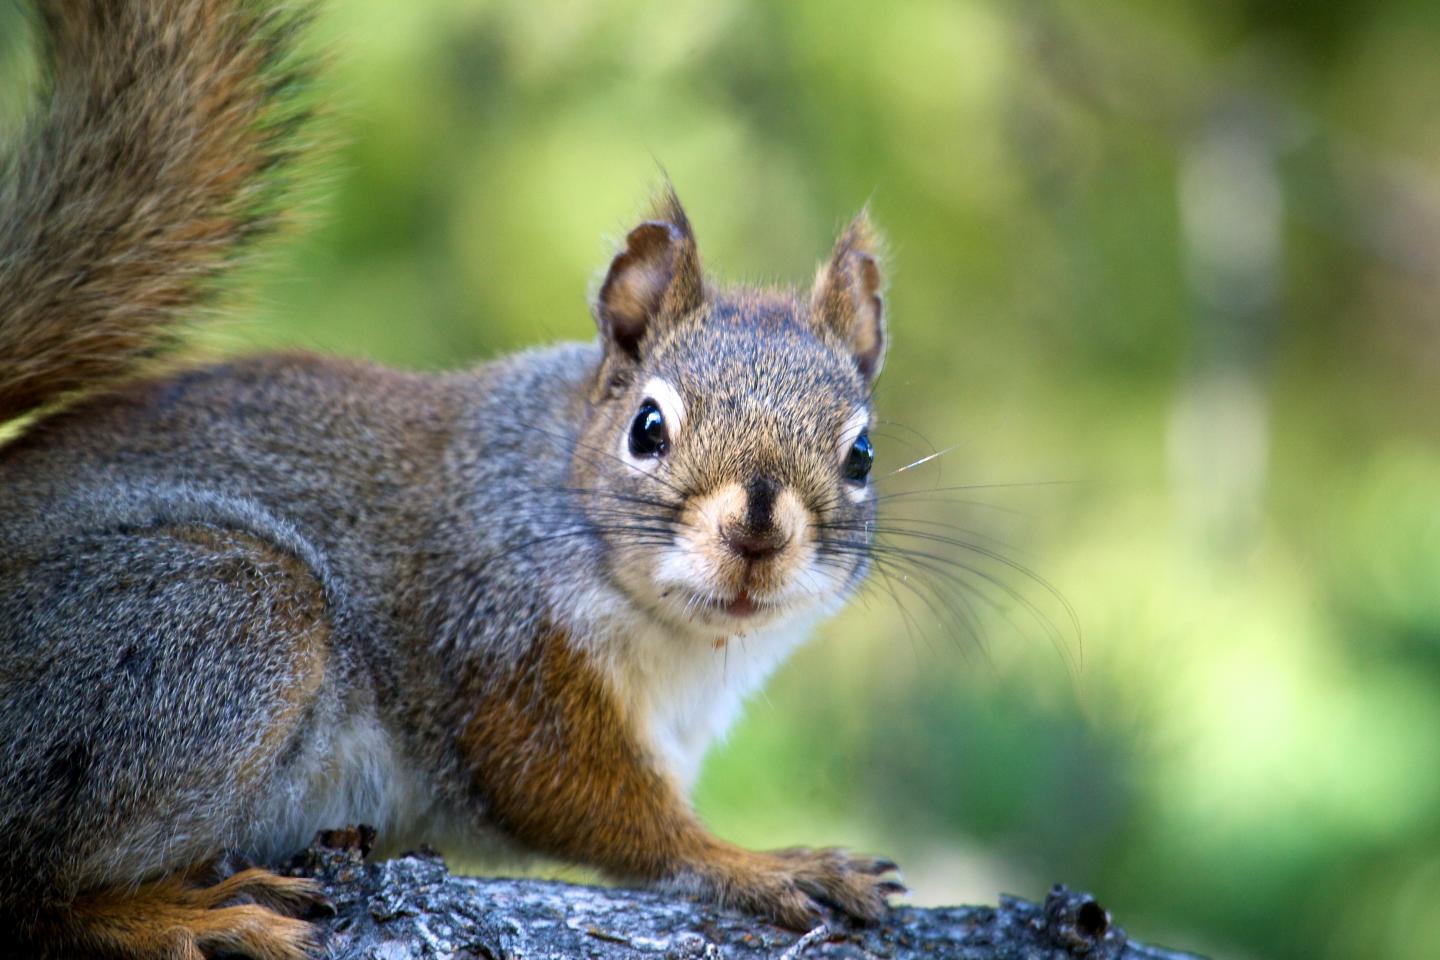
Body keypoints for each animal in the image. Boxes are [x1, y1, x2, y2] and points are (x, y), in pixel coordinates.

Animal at [0, 1, 900, 957]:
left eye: (860, 455)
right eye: (647, 429)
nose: (756, 534)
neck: (689, 645)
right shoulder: (502, 640)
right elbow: (583, 800)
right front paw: (768, 863)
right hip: (216, 613)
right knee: (35, 885)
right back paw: (185, 915)